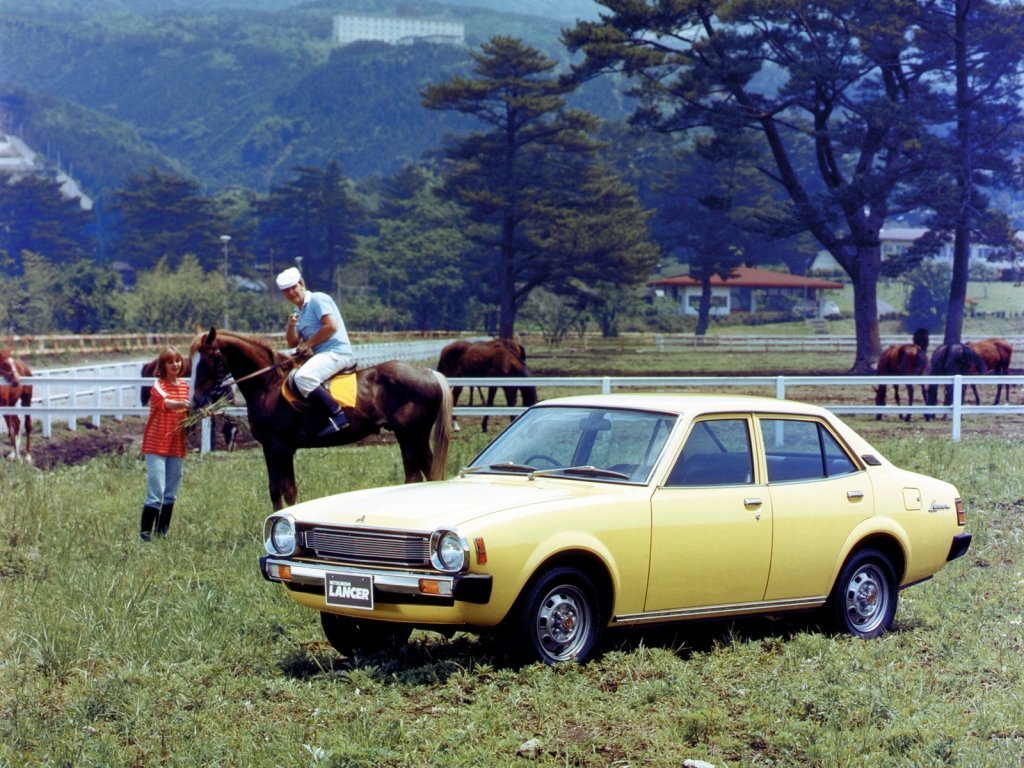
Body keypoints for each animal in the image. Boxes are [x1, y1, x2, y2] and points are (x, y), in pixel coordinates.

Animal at [190, 329, 450, 512]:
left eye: (206, 360)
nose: (196, 401)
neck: (268, 385)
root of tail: (429, 373)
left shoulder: (280, 447)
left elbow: (287, 490)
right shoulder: (271, 449)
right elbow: (276, 490)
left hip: (410, 436)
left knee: (415, 476)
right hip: (414, 438)